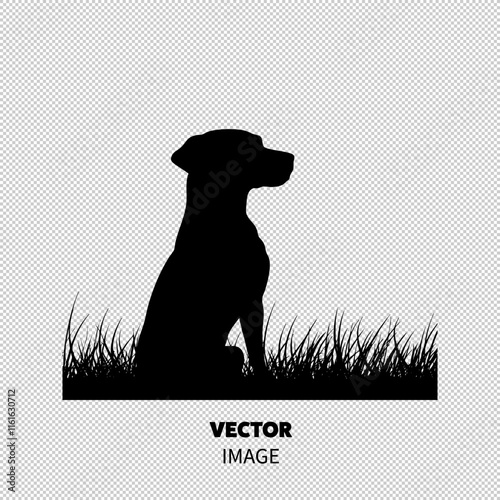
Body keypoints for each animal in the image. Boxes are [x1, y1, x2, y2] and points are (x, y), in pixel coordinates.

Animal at [135, 129, 294, 398]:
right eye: (249, 147)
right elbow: (257, 351)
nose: (291, 157)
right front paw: (267, 385)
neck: (221, 219)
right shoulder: (251, 299)